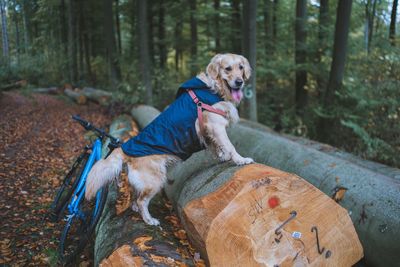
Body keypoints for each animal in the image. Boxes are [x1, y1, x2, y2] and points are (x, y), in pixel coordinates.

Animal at [85, 53, 253, 225]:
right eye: (228, 69)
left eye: (241, 67)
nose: (239, 82)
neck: (214, 88)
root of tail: (124, 149)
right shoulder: (215, 124)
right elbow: (229, 145)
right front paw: (241, 160)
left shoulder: (208, 129)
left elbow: (216, 146)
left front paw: (223, 156)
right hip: (155, 180)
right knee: (141, 201)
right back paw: (149, 220)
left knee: (134, 196)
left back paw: (136, 209)